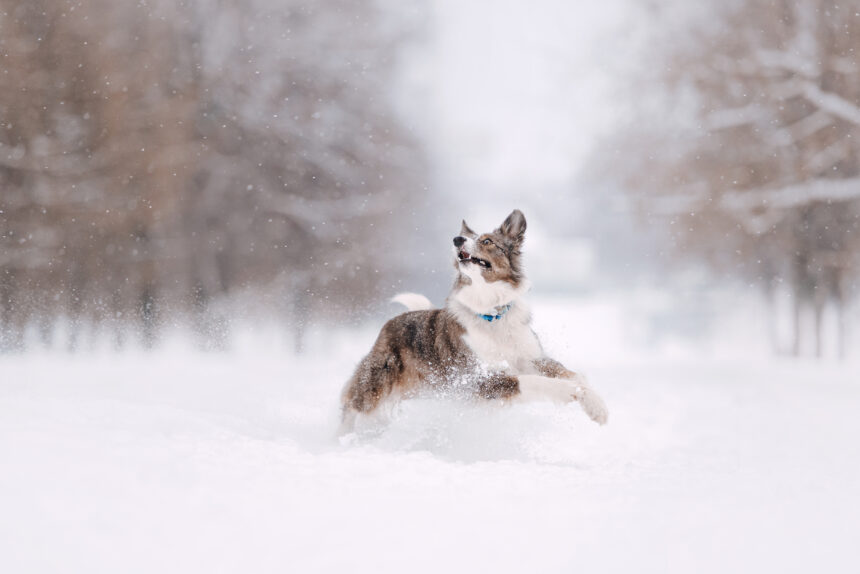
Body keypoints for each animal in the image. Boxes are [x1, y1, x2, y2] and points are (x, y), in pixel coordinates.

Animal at [340, 209, 608, 434]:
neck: (492, 314)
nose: (457, 239)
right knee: (352, 405)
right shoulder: (479, 379)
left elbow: (574, 375)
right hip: (374, 386)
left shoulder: (533, 358)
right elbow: (538, 382)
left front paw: (597, 405)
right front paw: (574, 393)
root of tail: (389, 325)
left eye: (487, 241)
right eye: (466, 238)